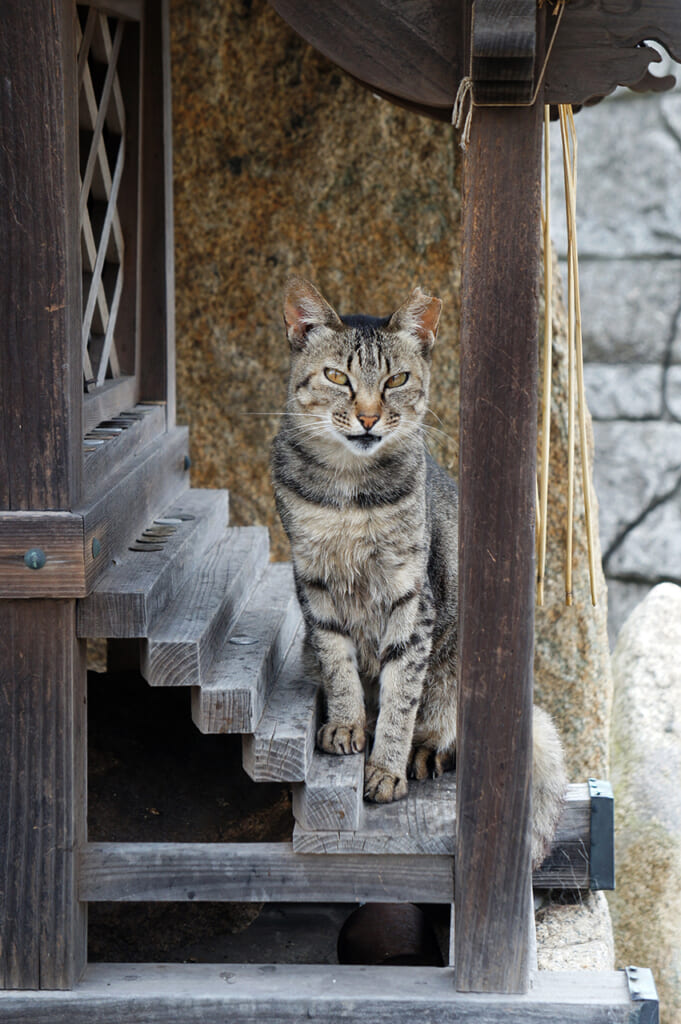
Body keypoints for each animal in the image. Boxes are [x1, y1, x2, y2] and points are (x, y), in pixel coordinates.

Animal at [268, 274, 565, 864]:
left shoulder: (411, 596)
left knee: (447, 731)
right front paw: (346, 723)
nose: (367, 417)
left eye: (397, 379)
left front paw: (385, 768)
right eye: (337, 377)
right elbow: (338, 664)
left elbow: (402, 695)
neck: (349, 493)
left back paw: (423, 754)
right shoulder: (314, 583)